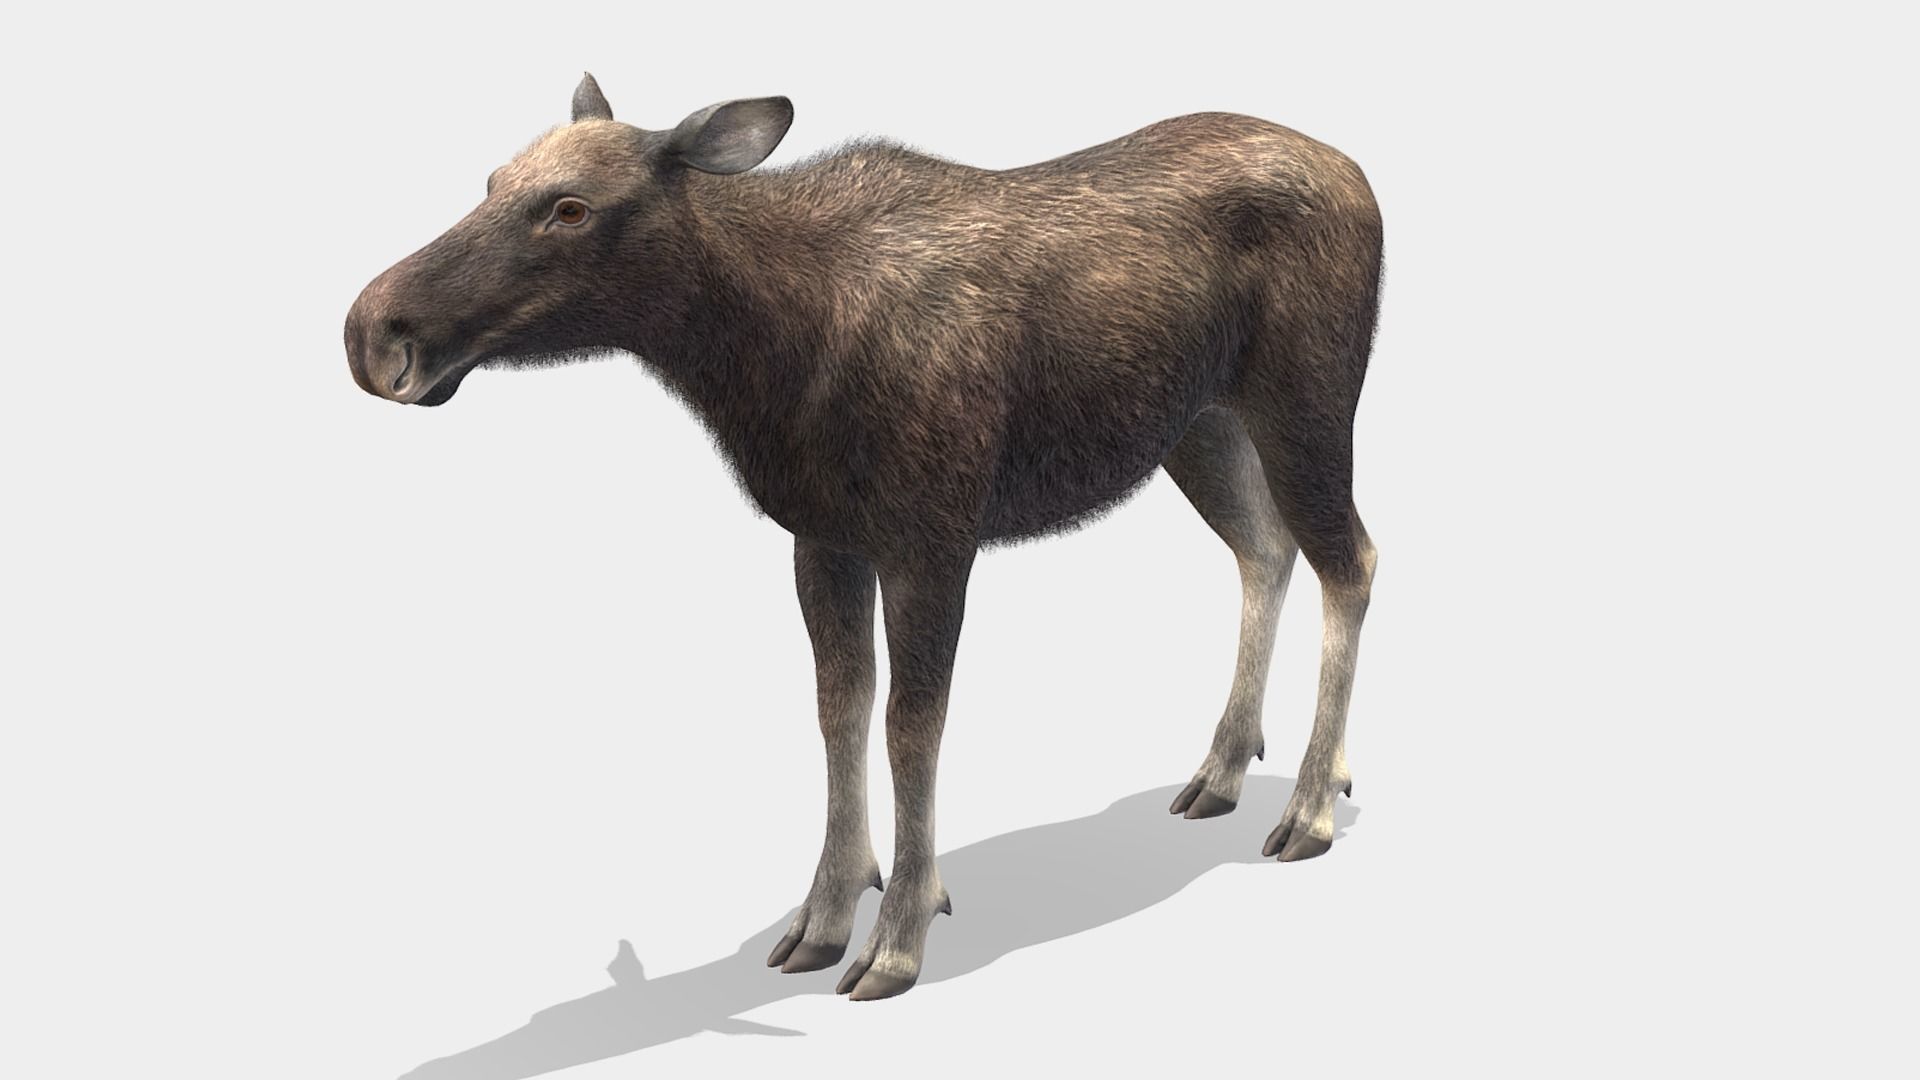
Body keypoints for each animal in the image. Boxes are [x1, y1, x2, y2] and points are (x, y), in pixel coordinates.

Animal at [344, 73, 1382, 1001]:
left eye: (570, 208)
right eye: (489, 180)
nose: (374, 333)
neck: (761, 356)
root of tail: (1358, 173)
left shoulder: (934, 539)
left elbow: (911, 726)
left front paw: (898, 937)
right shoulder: (824, 539)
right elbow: (837, 709)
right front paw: (823, 916)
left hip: (1306, 400)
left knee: (1352, 559)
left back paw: (1309, 806)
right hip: (1199, 424)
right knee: (1265, 550)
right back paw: (1223, 768)